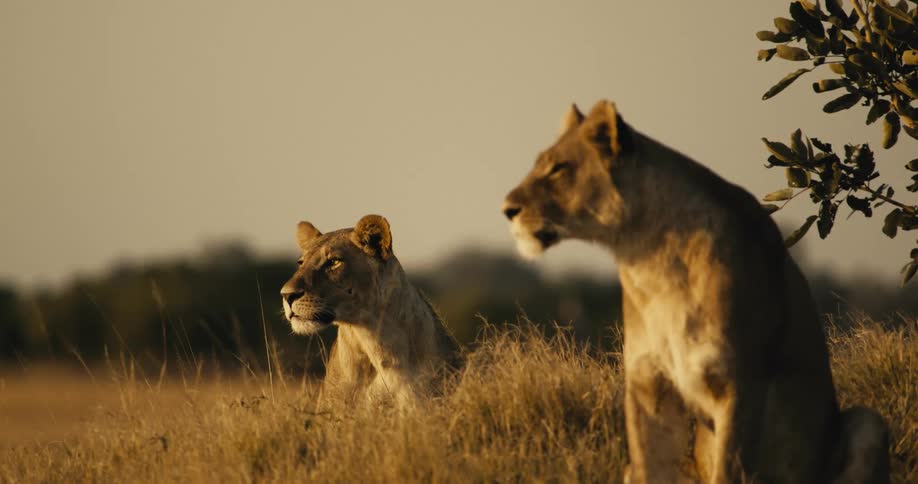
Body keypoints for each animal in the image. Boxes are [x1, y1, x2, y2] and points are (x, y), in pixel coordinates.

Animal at [502, 100, 889, 483]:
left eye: (558, 169)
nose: (507, 209)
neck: (650, 257)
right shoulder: (649, 387)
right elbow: (648, 467)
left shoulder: (739, 383)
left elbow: (728, 470)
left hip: (868, 422)